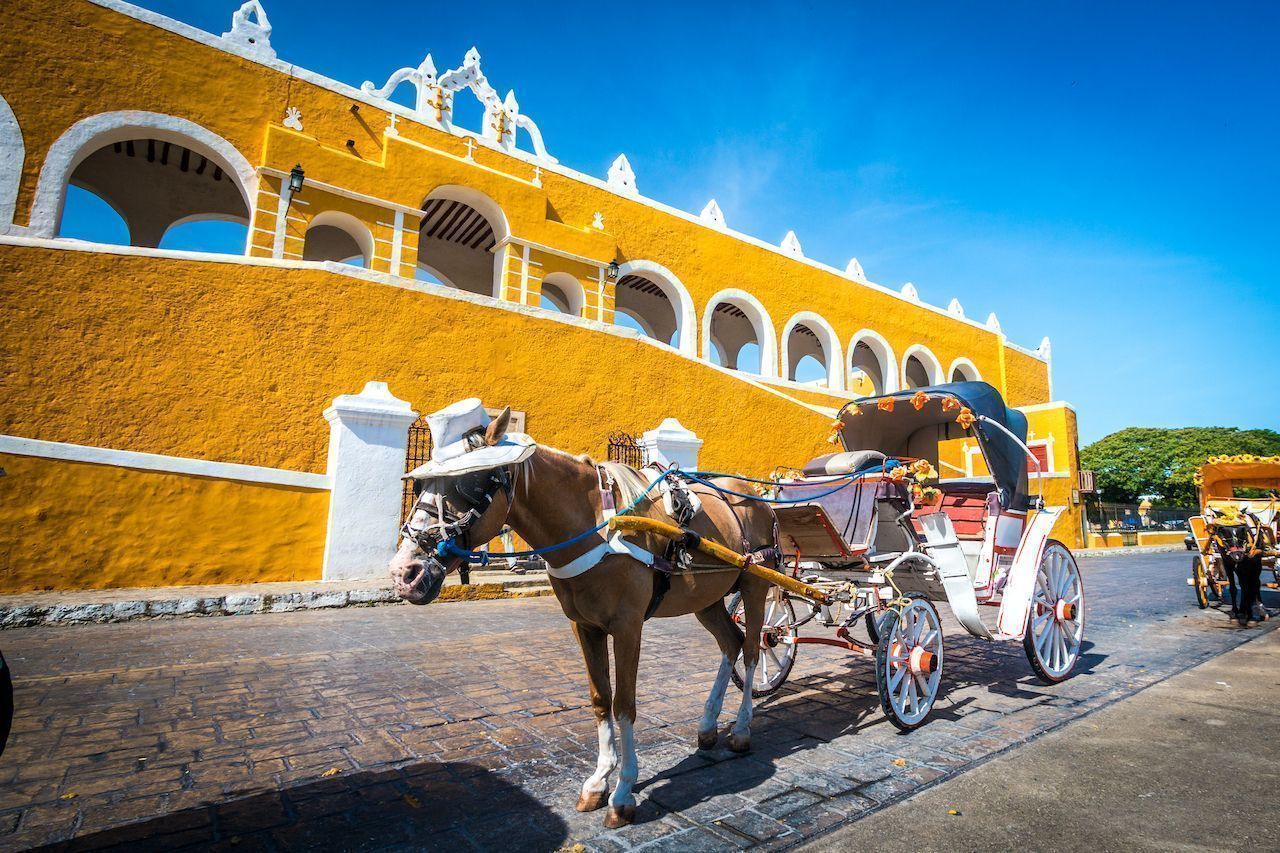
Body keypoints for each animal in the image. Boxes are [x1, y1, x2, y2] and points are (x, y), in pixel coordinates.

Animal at [384, 404, 773, 824]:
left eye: (471, 484)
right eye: (421, 486)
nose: (405, 573)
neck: (596, 525)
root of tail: (758, 498)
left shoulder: (628, 626)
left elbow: (624, 704)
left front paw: (623, 792)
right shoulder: (584, 625)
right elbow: (600, 699)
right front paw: (599, 781)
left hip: (756, 586)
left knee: (752, 651)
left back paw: (742, 730)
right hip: (707, 599)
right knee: (730, 643)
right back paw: (707, 726)